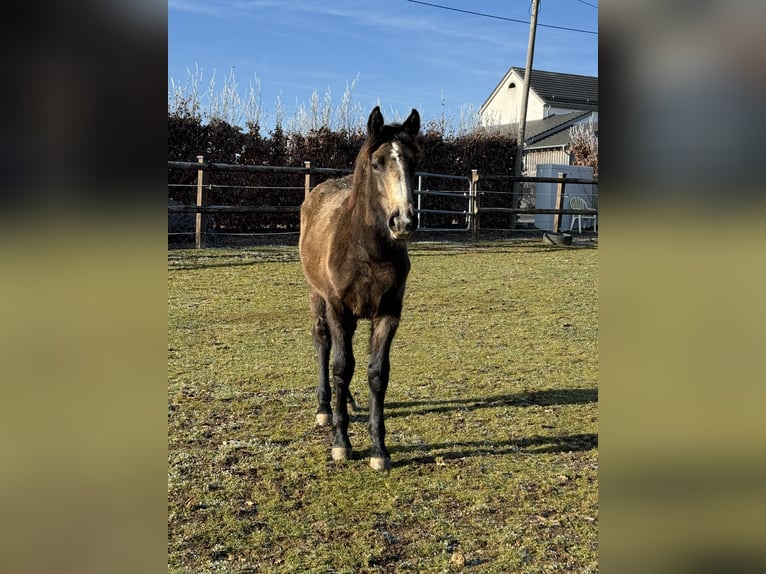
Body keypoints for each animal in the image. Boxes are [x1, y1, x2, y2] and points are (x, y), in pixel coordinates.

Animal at [300, 106, 424, 470]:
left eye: (414, 163)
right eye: (377, 163)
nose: (403, 222)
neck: (368, 251)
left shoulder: (388, 313)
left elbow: (376, 373)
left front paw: (379, 450)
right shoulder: (338, 309)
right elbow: (341, 367)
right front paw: (341, 443)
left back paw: (350, 402)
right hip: (317, 298)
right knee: (324, 346)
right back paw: (325, 409)